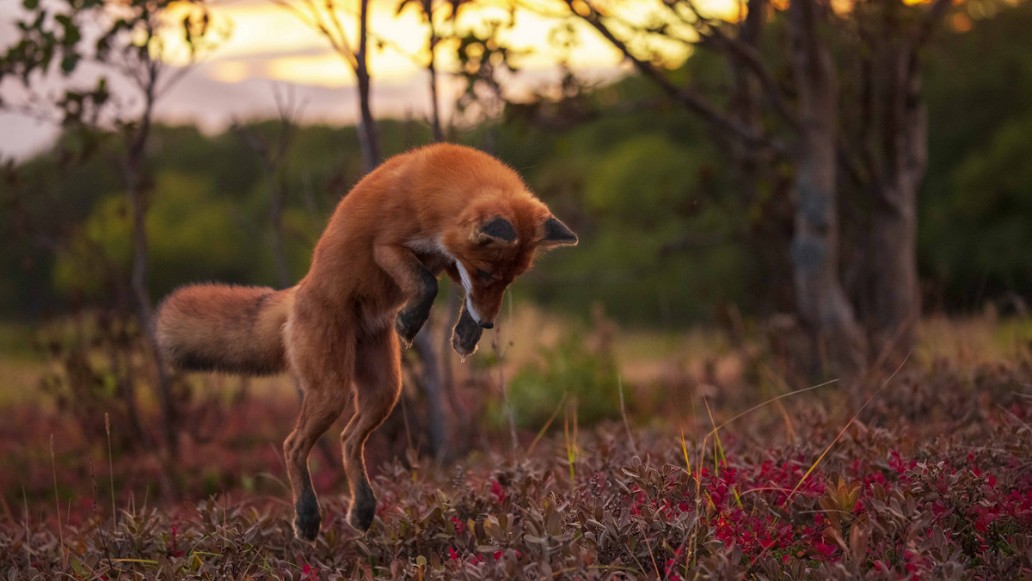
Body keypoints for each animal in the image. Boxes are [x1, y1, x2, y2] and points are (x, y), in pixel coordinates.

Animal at [155, 144, 577, 540]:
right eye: (486, 272)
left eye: (510, 280)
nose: (490, 323)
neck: (436, 187)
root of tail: (298, 293)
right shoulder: (388, 246)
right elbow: (426, 283)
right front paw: (412, 320)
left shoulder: (446, 257)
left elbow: (452, 289)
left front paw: (466, 332)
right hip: (332, 390)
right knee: (293, 446)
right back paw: (307, 515)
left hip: (384, 390)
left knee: (348, 440)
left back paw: (362, 509)